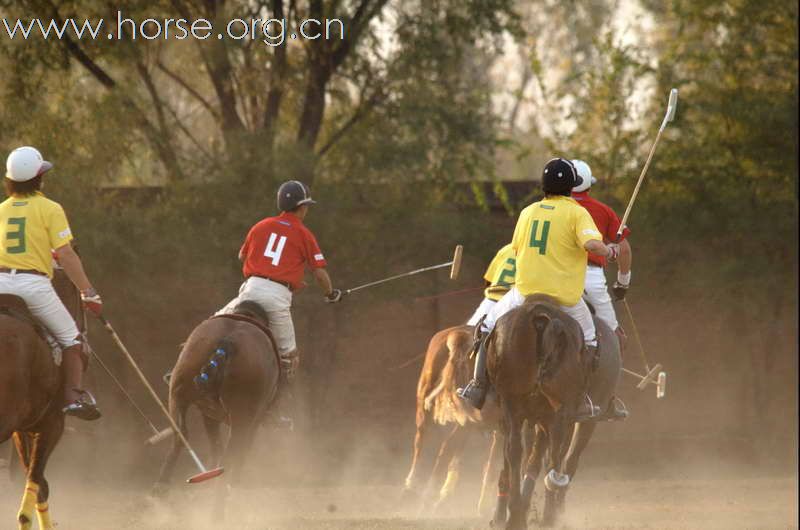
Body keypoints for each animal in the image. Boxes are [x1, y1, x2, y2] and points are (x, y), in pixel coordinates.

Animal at [153, 296, 282, 508]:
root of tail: (228, 342)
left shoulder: (209, 413)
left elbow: (215, 444)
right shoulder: (251, 422)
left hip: (177, 393)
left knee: (181, 433)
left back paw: (160, 488)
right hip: (242, 416)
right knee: (229, 458)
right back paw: (219, 505)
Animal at [484, 294, 592, 524]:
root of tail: (542, 318)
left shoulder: (515, 412)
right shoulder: (552, 415)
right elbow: (541, 457)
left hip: (512, 401)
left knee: (515, 449)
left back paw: (516, 515)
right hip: (559, 408)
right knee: (554, 453)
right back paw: (546, 516)